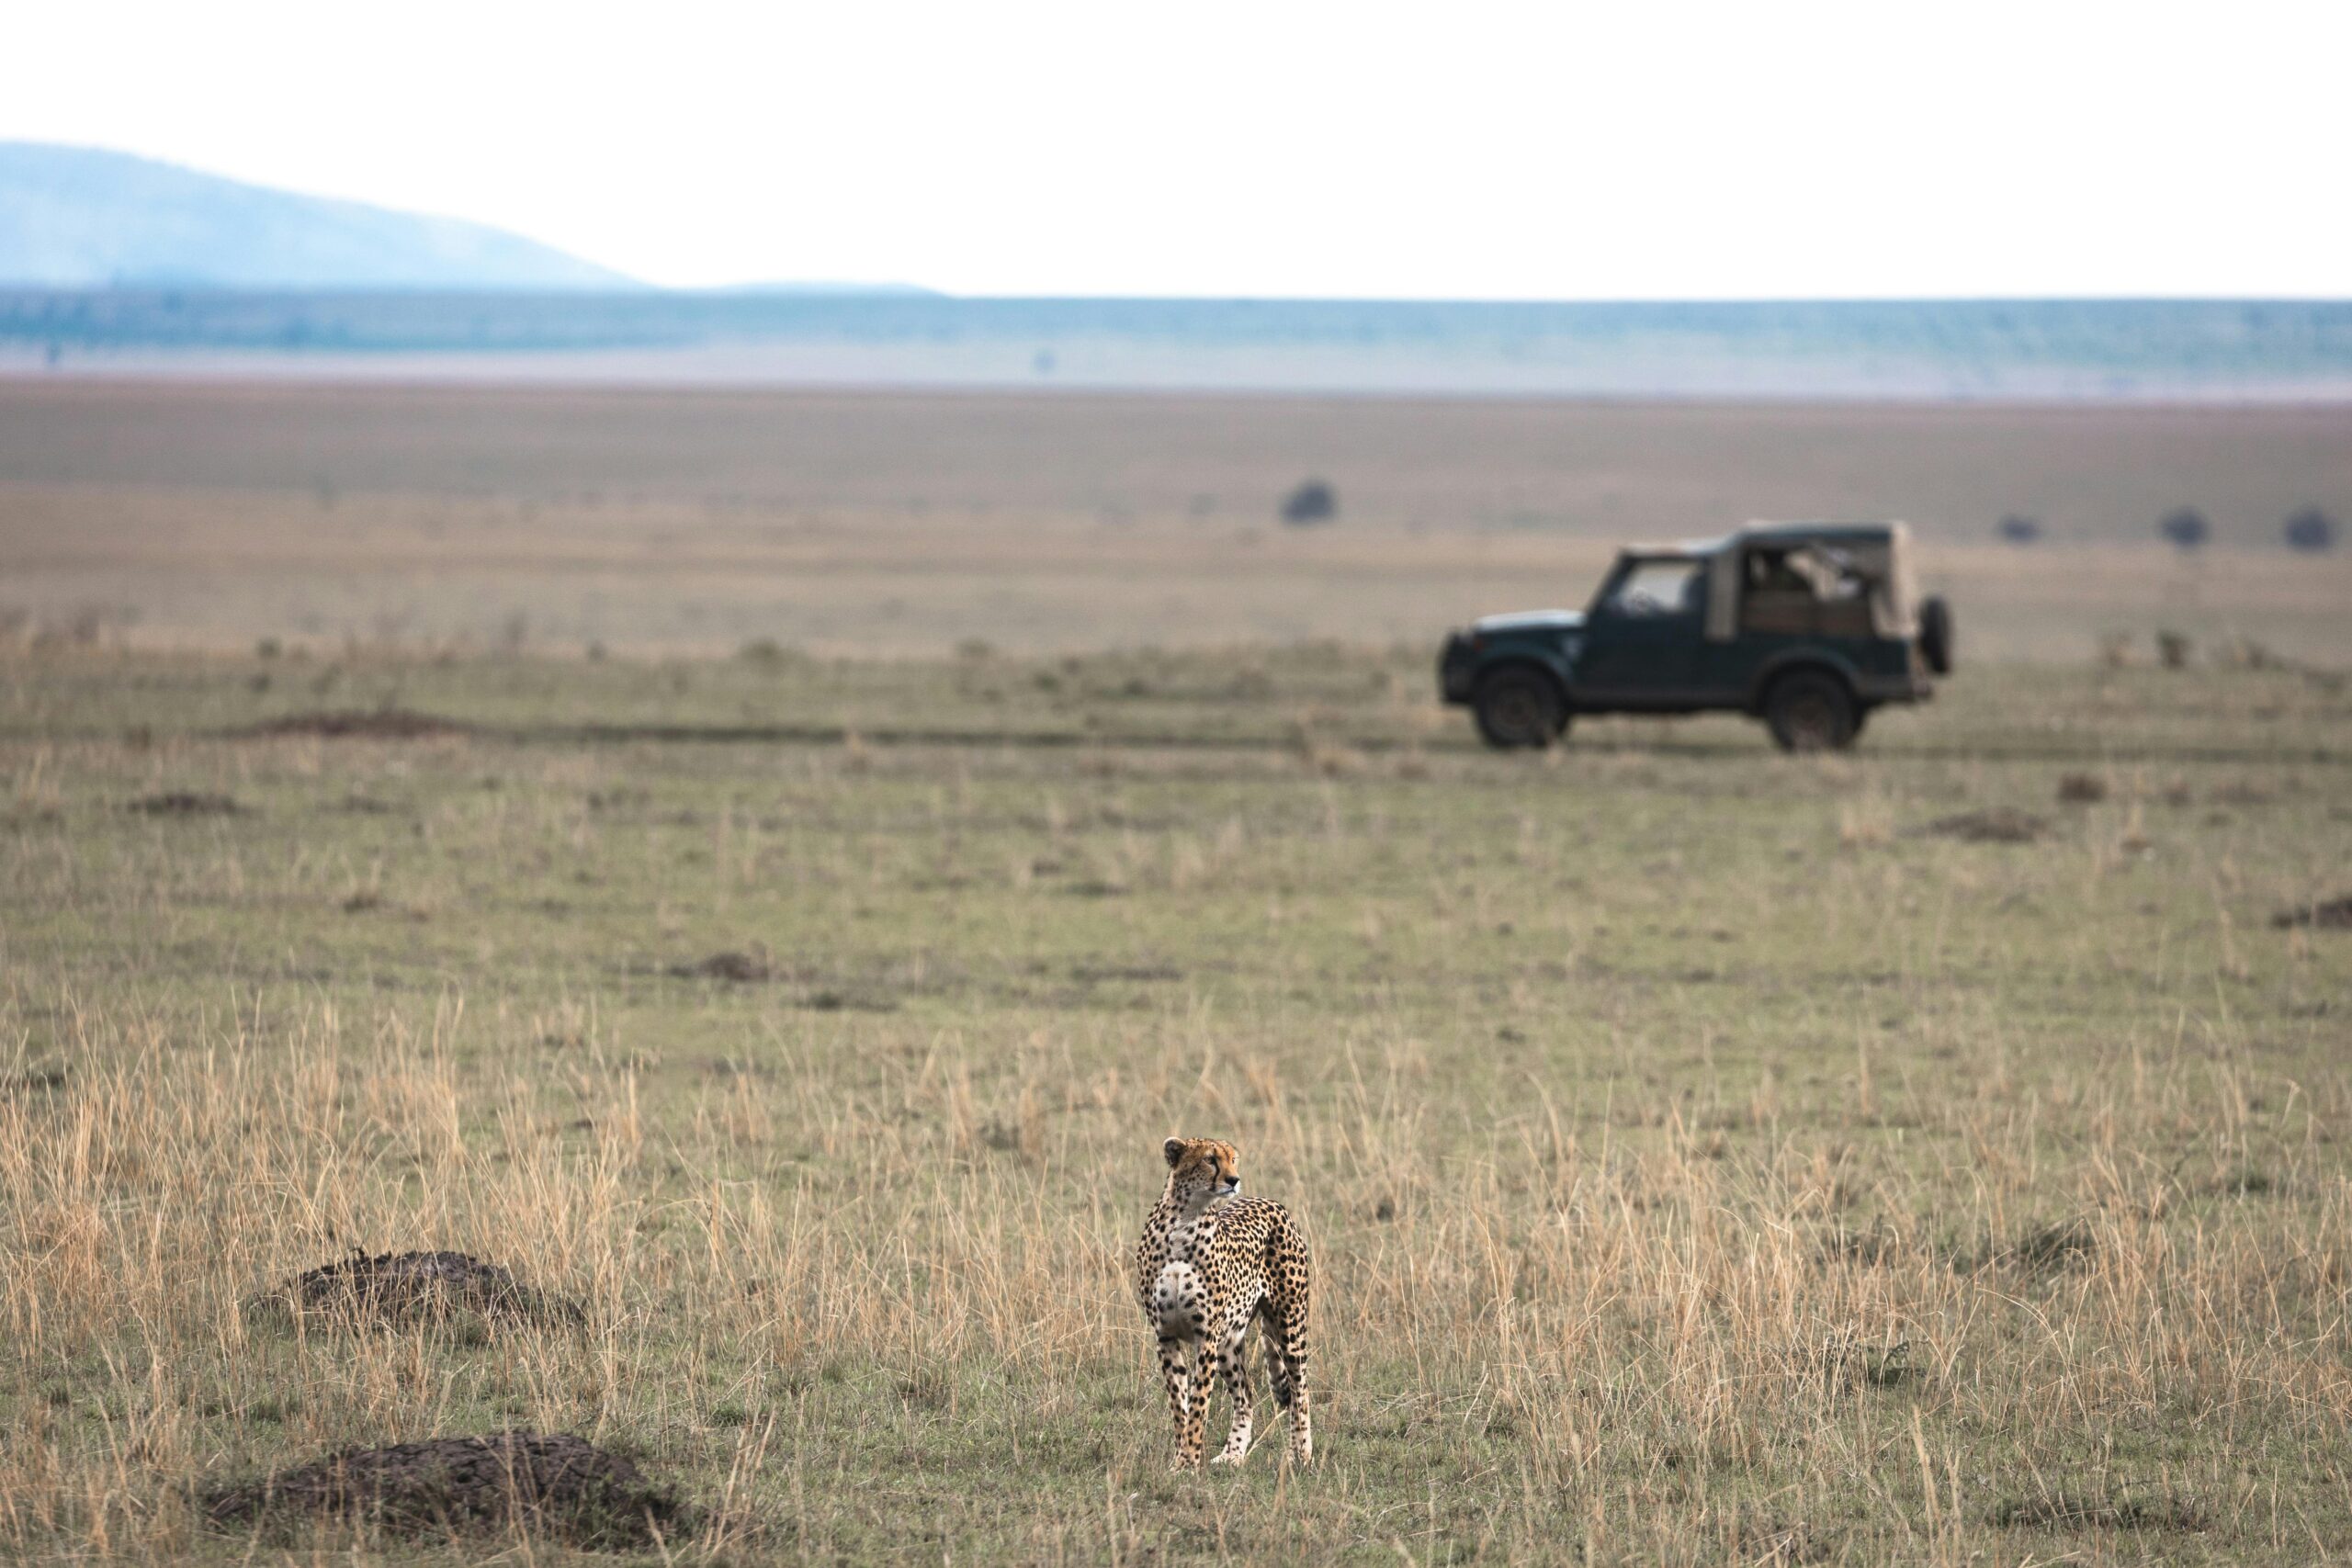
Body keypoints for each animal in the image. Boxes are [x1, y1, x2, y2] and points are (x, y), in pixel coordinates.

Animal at [1133, 1134, 1314, 1470]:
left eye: (1233, 1159)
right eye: (1209, 1159)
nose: (1234, 1180)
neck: (1185, 1218)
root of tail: (1271, 1202)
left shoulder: (1206, 1335)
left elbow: (1198, 1402)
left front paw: (1188, 1461)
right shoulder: (1165, 1334)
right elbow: (1179, 1404)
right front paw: (1181, 1457)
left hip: (1290, 1325)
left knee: (1300, 1390)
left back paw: (1301, 1453)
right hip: (1230, 1341)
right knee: (1246, 1395)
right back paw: (1234, 1454)